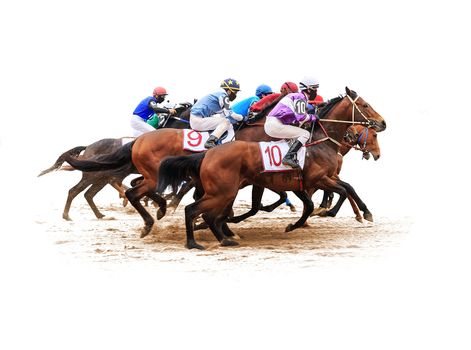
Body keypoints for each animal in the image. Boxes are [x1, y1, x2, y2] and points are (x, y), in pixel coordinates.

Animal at [157, 87, 386, 249]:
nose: (382, 123)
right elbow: (339, 192)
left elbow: (343, 189)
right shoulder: (313, 179)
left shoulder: (307, 180)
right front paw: (328, 212)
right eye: (365, 105)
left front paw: (363, 212)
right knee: (197, 202)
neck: (321, 141)